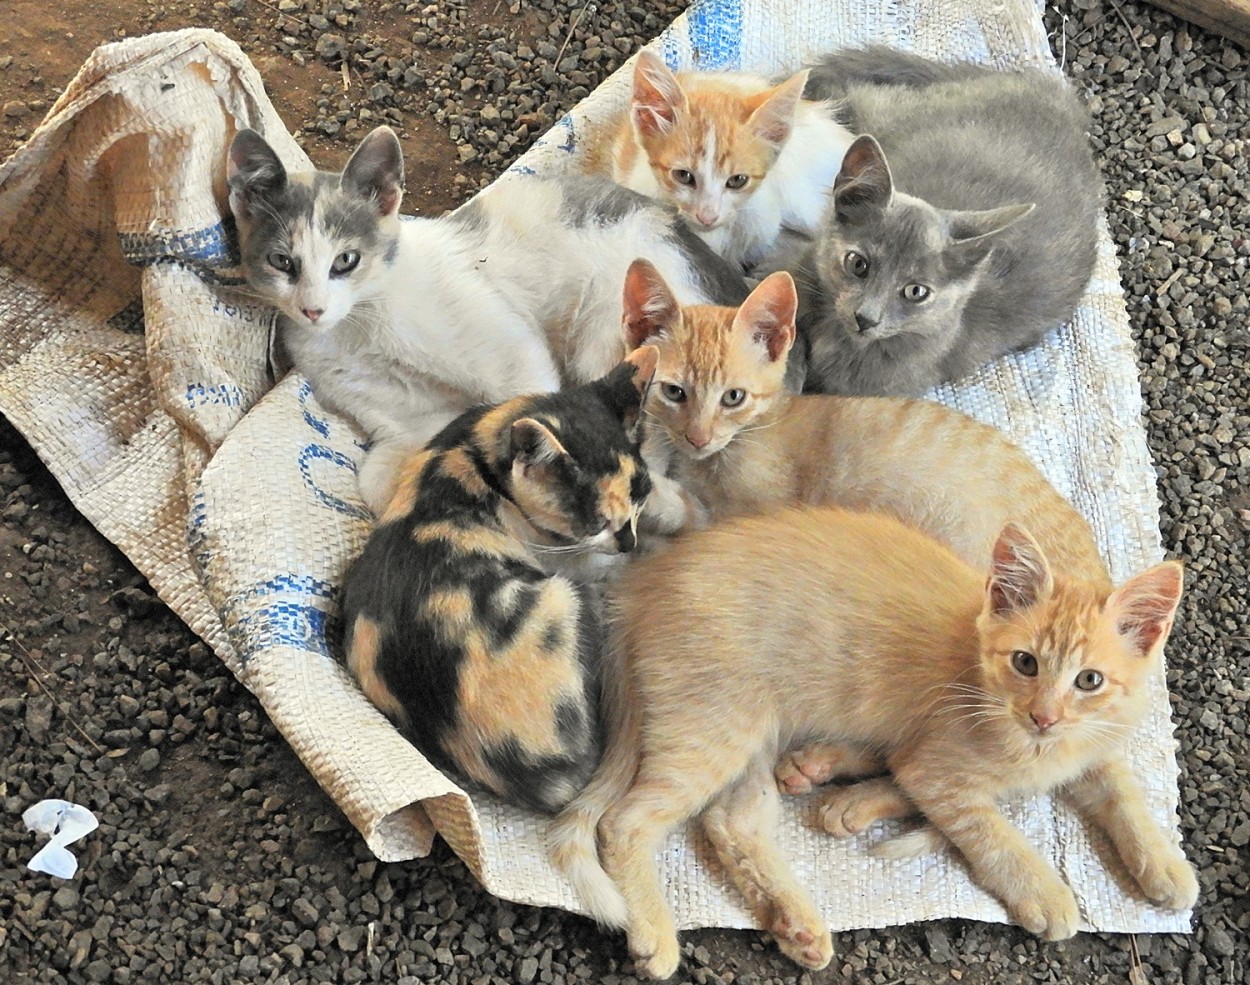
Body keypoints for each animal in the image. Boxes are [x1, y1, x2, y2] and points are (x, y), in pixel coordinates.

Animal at [226, 126, 745, 512]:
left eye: (345, 261)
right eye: (282, 262)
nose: (312, 309)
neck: (359, 329)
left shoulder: (510, 351)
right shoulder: (407, 419)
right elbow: (380, 480)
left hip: (606, 338)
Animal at [552, 507, 1195, 975]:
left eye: (1089, 681)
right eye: (1025, 663)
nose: (1043, 715)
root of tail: (639, 590)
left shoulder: (1091, 744)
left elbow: (1121, 792)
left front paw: (1165, 864)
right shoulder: (936, 766)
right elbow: (989, 831)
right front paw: (1045, 892)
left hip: (752, 730)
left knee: (729, 822)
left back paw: (796, 922)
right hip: (714, 726)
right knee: (627, 822)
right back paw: (655, 934)